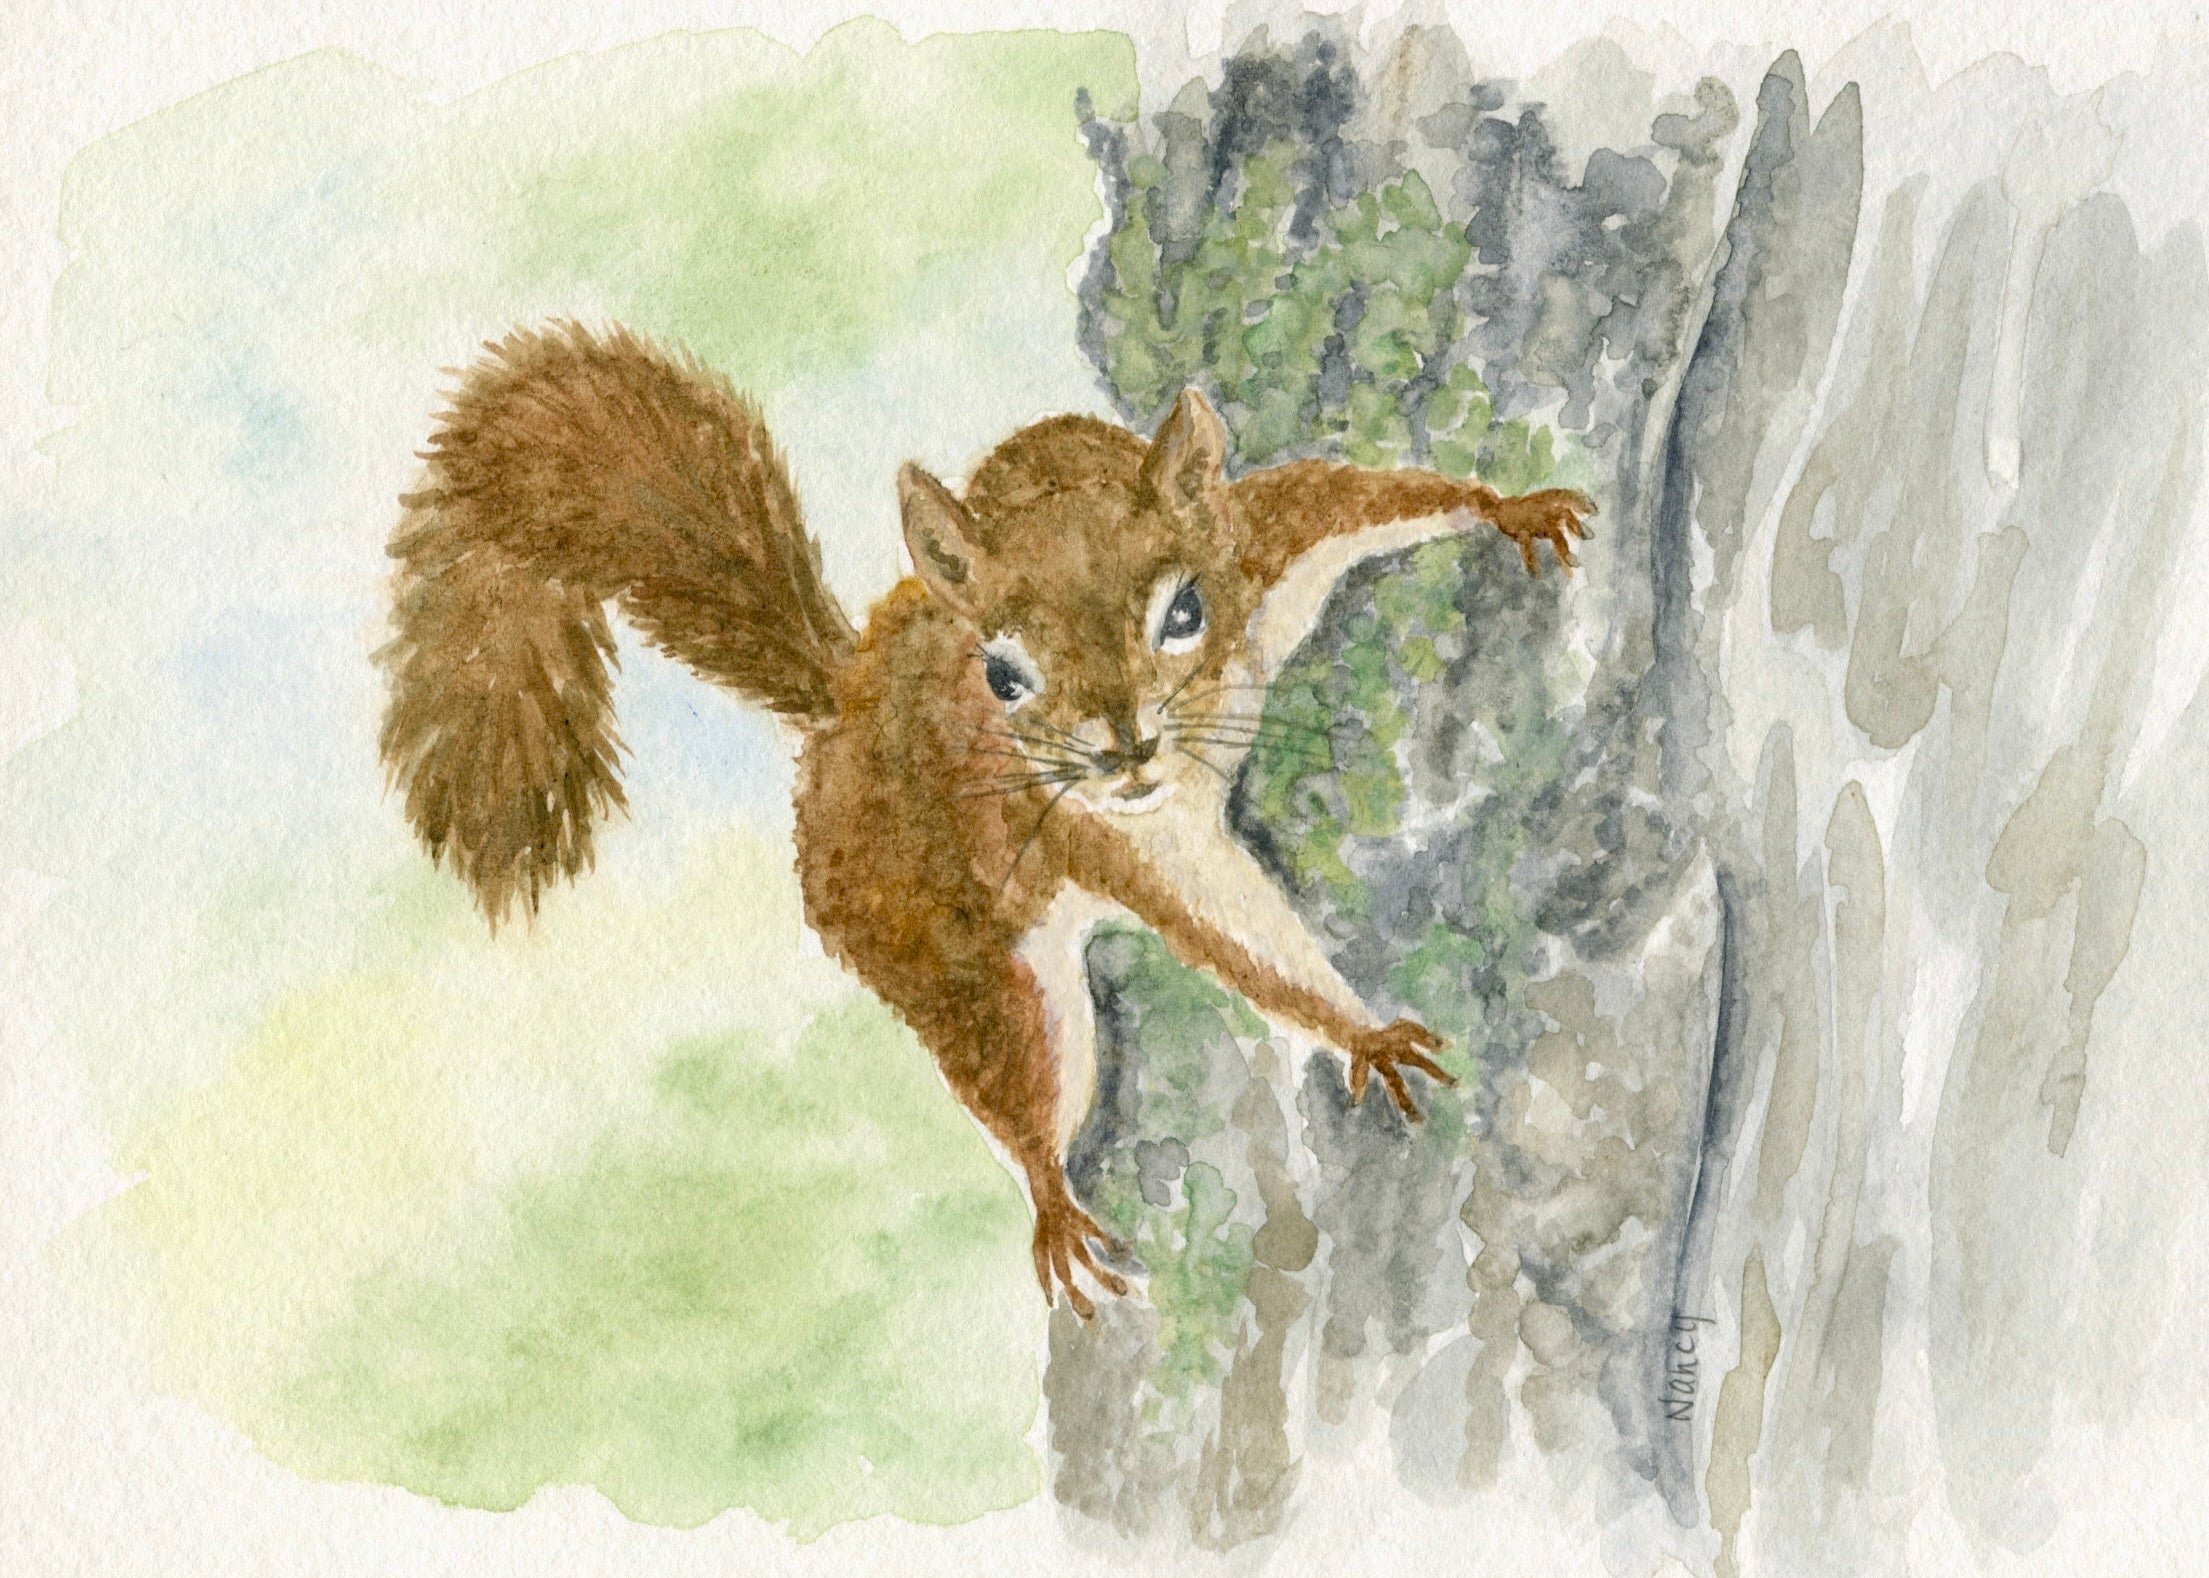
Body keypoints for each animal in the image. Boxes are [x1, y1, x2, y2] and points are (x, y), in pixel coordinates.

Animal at [378, 321, 1593, 1316]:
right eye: (1002, 677)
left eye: (1185, 611)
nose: (1121, 749)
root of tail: (843, 717)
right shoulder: (1110, 833)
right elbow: (1229, 928)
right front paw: (1364, 1032)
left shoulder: (1260, 549)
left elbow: (1355, 500)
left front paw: (1512, 508)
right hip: (956, 959)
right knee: (1015, 1082)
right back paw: (1053, 1203)